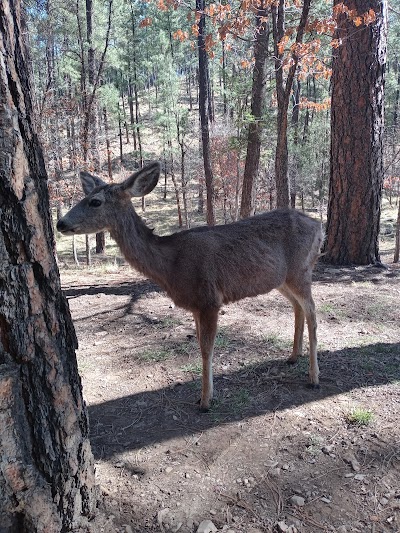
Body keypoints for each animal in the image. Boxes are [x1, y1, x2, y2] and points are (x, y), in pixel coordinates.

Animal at [57, 160, 324, 410]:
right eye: (85, 197)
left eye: (95, 202)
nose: (60, 223)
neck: (171, 263)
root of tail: (318, 226)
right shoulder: (196, 305)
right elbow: (199, 344)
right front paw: (206, 395)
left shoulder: (209, 300)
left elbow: (206, 349)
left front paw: (205, 400)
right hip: (282, 279)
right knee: (298, 308)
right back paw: (293, 356)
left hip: (301, 270)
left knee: (312, 312)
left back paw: (313, 377)